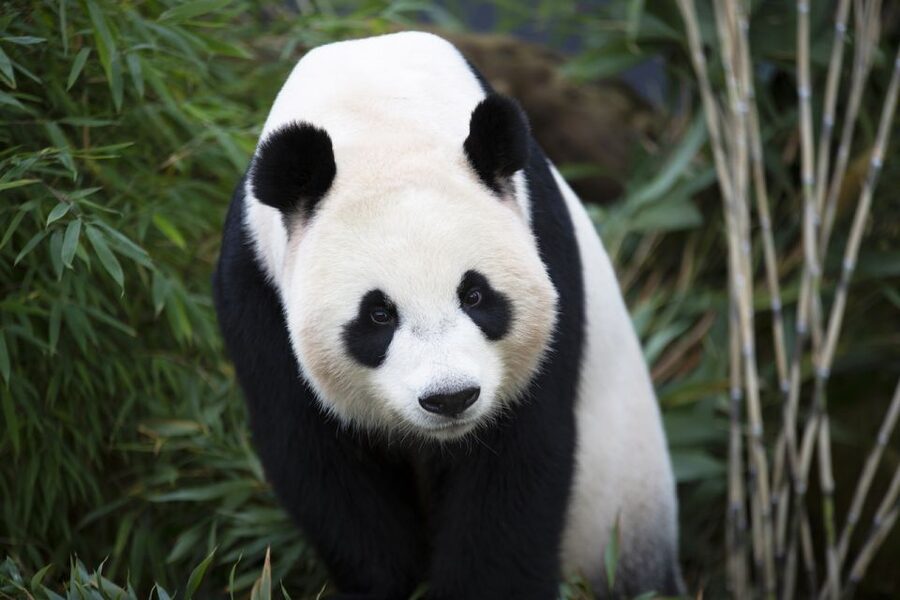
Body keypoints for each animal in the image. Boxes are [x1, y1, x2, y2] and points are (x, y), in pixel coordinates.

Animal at [213, 31, 682, 599]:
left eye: (475, 296)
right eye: (378, 315)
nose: (450, 398)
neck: (379, 115)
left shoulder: (545, 250)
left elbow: (516, 468)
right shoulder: (256, 288)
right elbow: (321, 467)